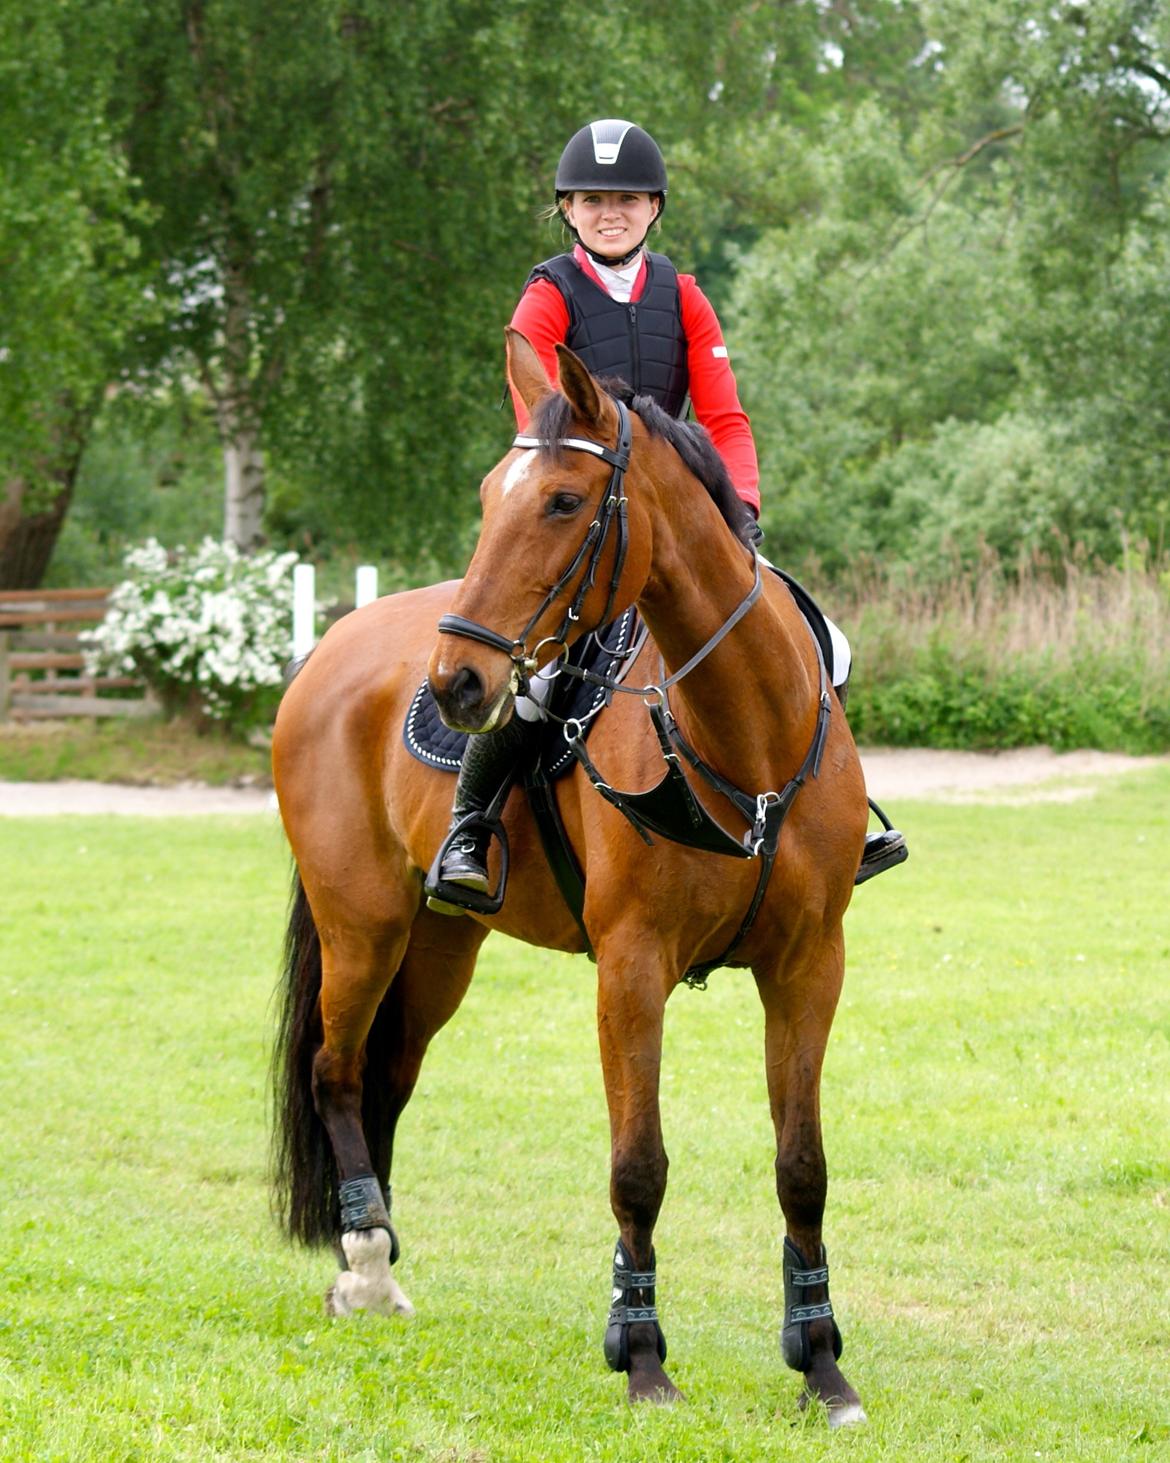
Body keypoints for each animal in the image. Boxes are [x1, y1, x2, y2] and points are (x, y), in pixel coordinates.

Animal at [274, 332, 871, 1427]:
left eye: (560, 500)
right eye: (487, 495)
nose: (458, 681)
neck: (746, 733)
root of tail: (331, 648)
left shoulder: (811, 965)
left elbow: (802, 1164)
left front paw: (820, 1362)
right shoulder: (631, 968)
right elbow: (638, 1167)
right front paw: (641, 1355)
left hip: (440, 945)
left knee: (387, 1075)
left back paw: (371, 1252)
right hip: (362, 924)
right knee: (336, 1071)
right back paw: (365, 1263)